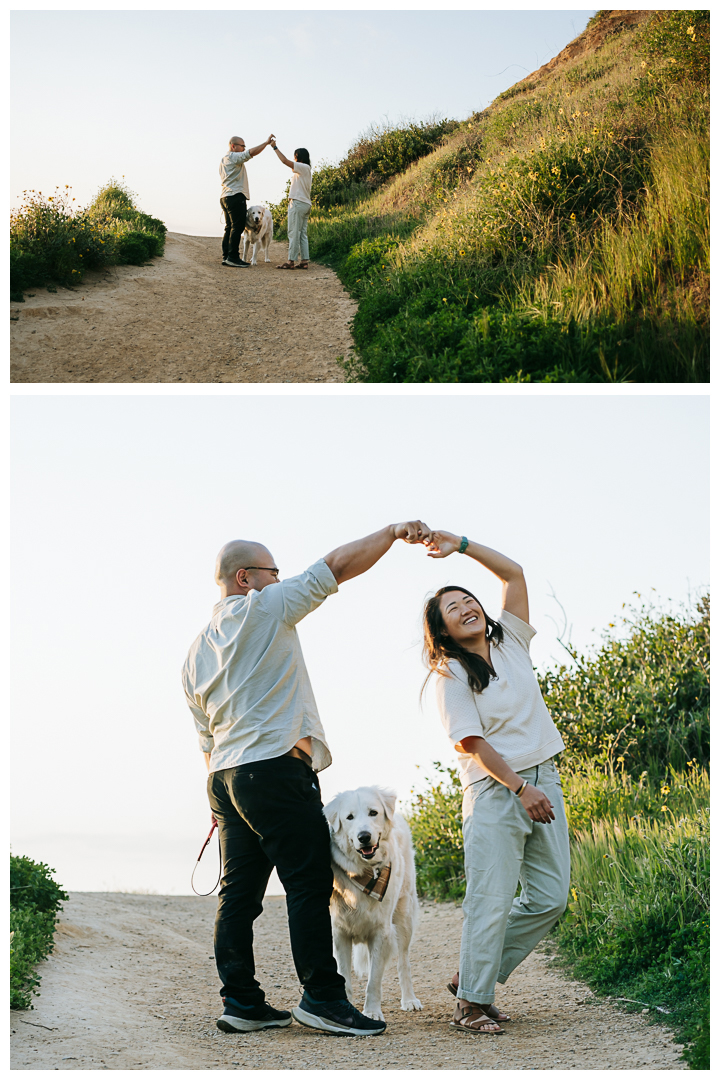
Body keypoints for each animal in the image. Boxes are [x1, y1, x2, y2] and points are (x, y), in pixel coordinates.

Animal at [325, 786, 423, 1019]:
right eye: (349, 817)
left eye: (373, 813)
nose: (364, 837)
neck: (364, 872)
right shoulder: (339, 933)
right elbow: (344, 976)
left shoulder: (381, 932)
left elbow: (374, 980)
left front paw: (372, 1012)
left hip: (404, 918)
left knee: (403, 963)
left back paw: (409, 1000)